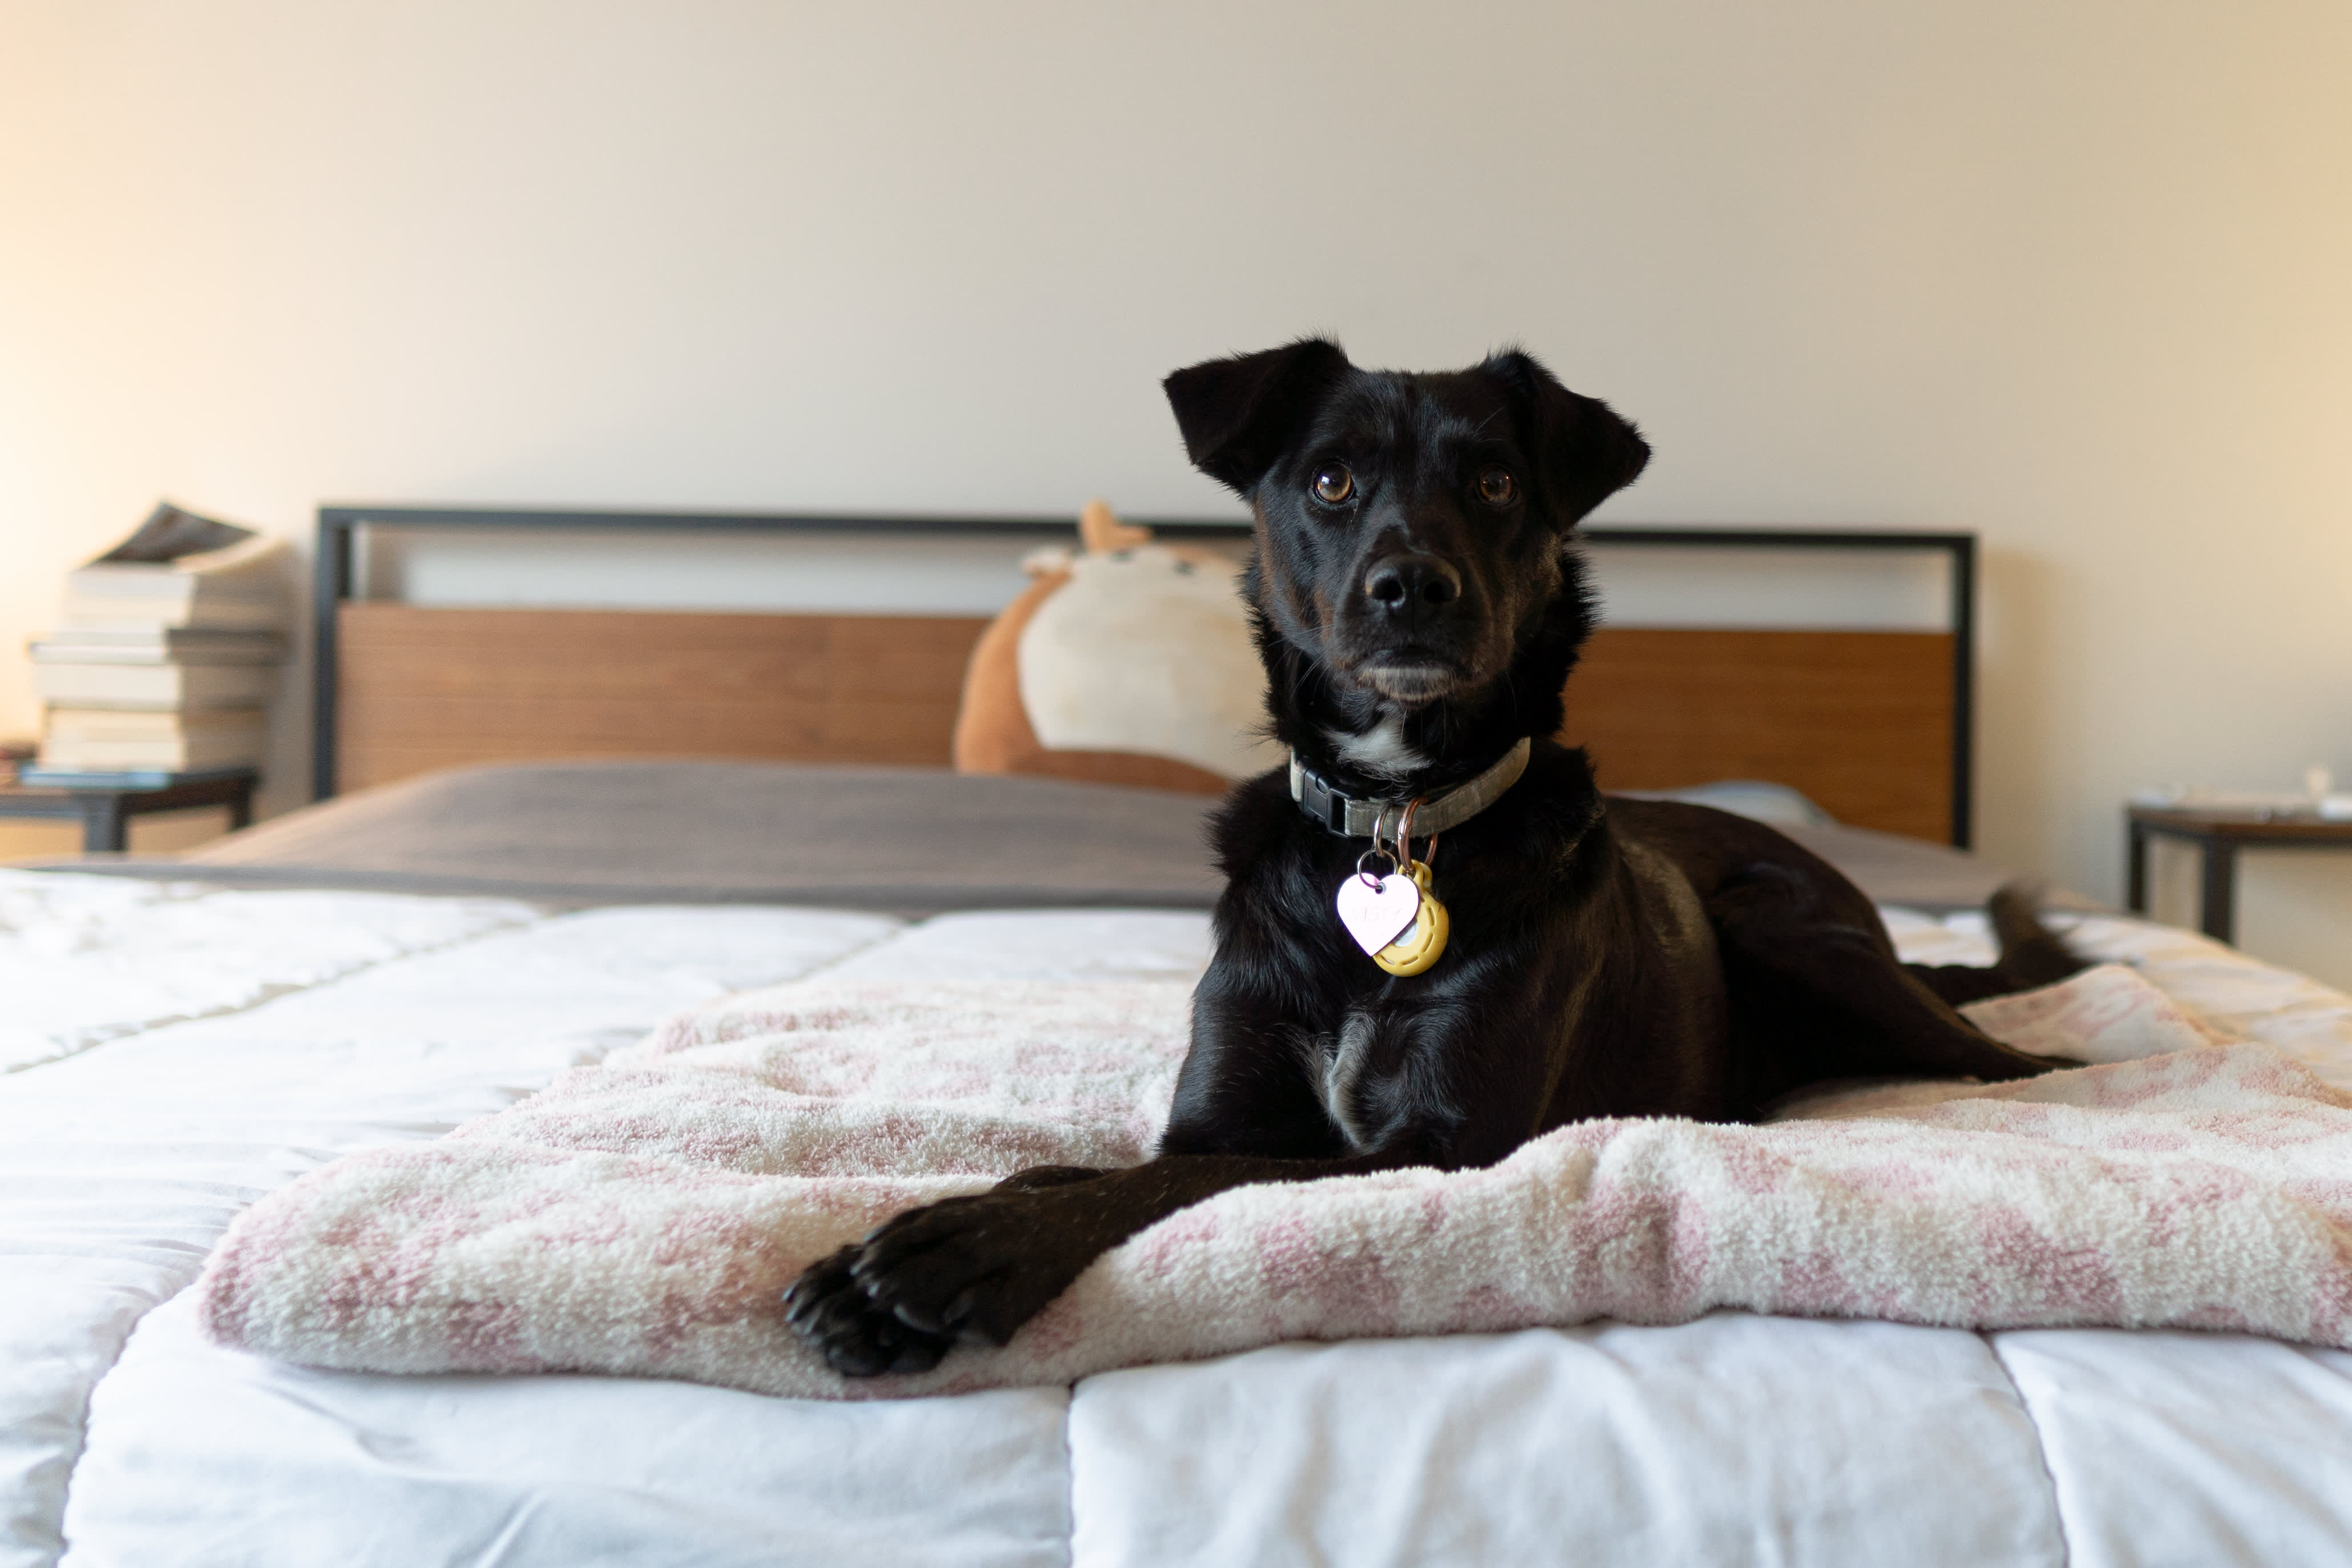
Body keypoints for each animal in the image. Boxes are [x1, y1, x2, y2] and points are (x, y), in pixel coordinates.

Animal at [781, 341, 2070, 1373]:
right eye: (1330, 479)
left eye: (1495, 482)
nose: (1410, 588)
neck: (1395, 821)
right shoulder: (1223, 1102)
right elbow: (1083, 1170)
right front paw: (889, 1258)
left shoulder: (1435, 1147)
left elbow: (1180, 1184)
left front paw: (960, 1254)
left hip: (1801, 939)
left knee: (2021, 1058)